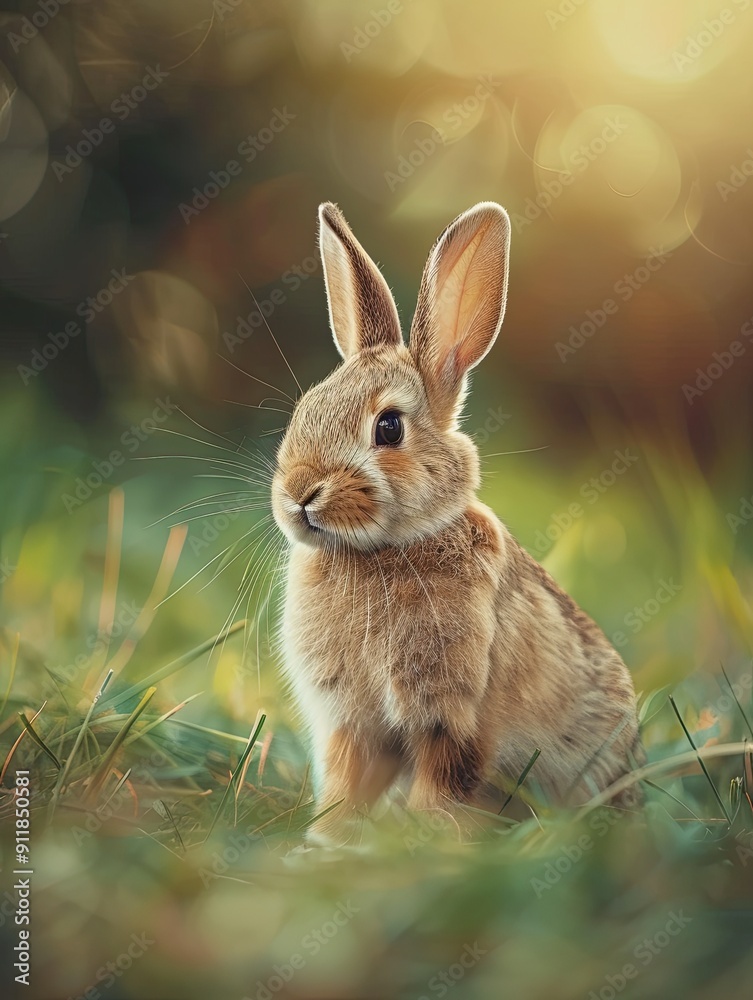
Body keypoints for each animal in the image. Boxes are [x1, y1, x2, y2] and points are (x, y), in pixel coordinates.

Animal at [271, 200, 643, 844]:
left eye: (388, 427)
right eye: (303, 411)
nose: (298, 495)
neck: (383, 550)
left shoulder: (453, 714)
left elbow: (446, 780)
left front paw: (425, 843)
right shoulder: (350, 722)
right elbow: (347, 784)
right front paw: (326, 845)